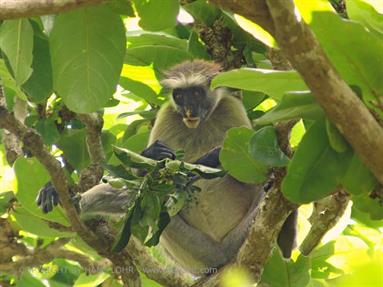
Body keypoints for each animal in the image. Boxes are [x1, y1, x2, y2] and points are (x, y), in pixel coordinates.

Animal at [36, 60, 296, 276]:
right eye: (180, 95)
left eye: (196, 93)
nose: (189, 110)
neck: (198, 125)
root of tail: (221, 254)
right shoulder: (168, 114)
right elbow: (145, 178)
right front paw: (153, 156)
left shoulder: (230, 107)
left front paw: (205, 163)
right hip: (191, 251)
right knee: (144, 195)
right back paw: (73, 202)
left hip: (240, 235)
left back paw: (286, 235)